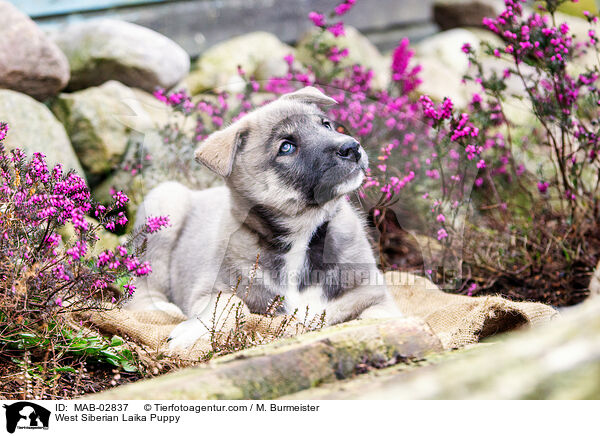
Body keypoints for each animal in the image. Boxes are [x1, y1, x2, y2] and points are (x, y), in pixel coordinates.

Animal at [127, 87, 400, 350]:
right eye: (286, 147)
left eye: (326, 125)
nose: (353, 147)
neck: (302, 235)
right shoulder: (207, 289)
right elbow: (230, 302)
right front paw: (192, 331)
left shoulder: (374, 297)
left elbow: (377, 318)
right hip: (165, 202)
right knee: (141, 285)